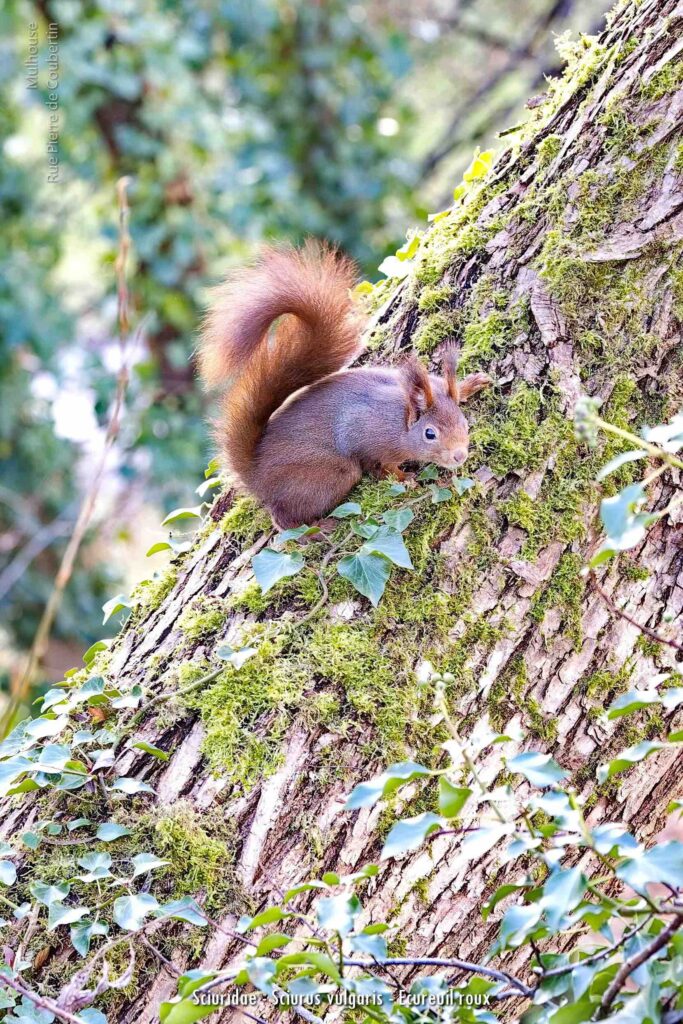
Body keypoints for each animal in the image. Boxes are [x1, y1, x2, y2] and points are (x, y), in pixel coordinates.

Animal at [197, 239, 491, 528]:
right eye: (430, 434)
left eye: (464, 423)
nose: (460, 456)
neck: (401, 418)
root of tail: (256, 475)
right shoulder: (365, 431)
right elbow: (379, 465)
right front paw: (403, 479)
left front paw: (469, 384)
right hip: (330, 473)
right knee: (282, 518)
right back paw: (313, 531)